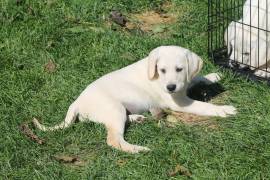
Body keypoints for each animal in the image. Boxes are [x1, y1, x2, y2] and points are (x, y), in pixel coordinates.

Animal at [33, 45, 236, 153]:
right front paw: (224, 109)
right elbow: (203, 106)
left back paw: (136, 118)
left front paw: (213, 76)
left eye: (179, 69)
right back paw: (139, 149)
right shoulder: (179, 102)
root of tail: (76, 102)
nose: (170, 87)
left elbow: (195, 78)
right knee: (114, 140)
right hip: (113, 109)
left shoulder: (182, 86)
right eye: (162, 70)